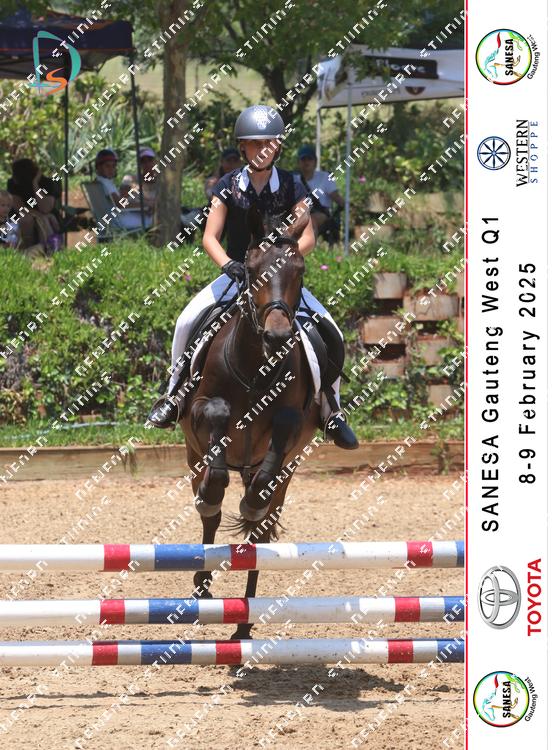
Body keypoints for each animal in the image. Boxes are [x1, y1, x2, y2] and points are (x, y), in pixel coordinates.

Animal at [178, 206, 320, 639]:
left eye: (299, 270)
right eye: (253, 268)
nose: (278, 335)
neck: (258, 364)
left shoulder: (293, 425)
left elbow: (285, 423)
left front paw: (253, 500)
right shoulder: (201, 408)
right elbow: (219, 413)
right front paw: (214, 489)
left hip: (284, 471)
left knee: (260, 527)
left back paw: (243, 624)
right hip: (193, 455)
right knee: (209, 512)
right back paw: (202, 585)